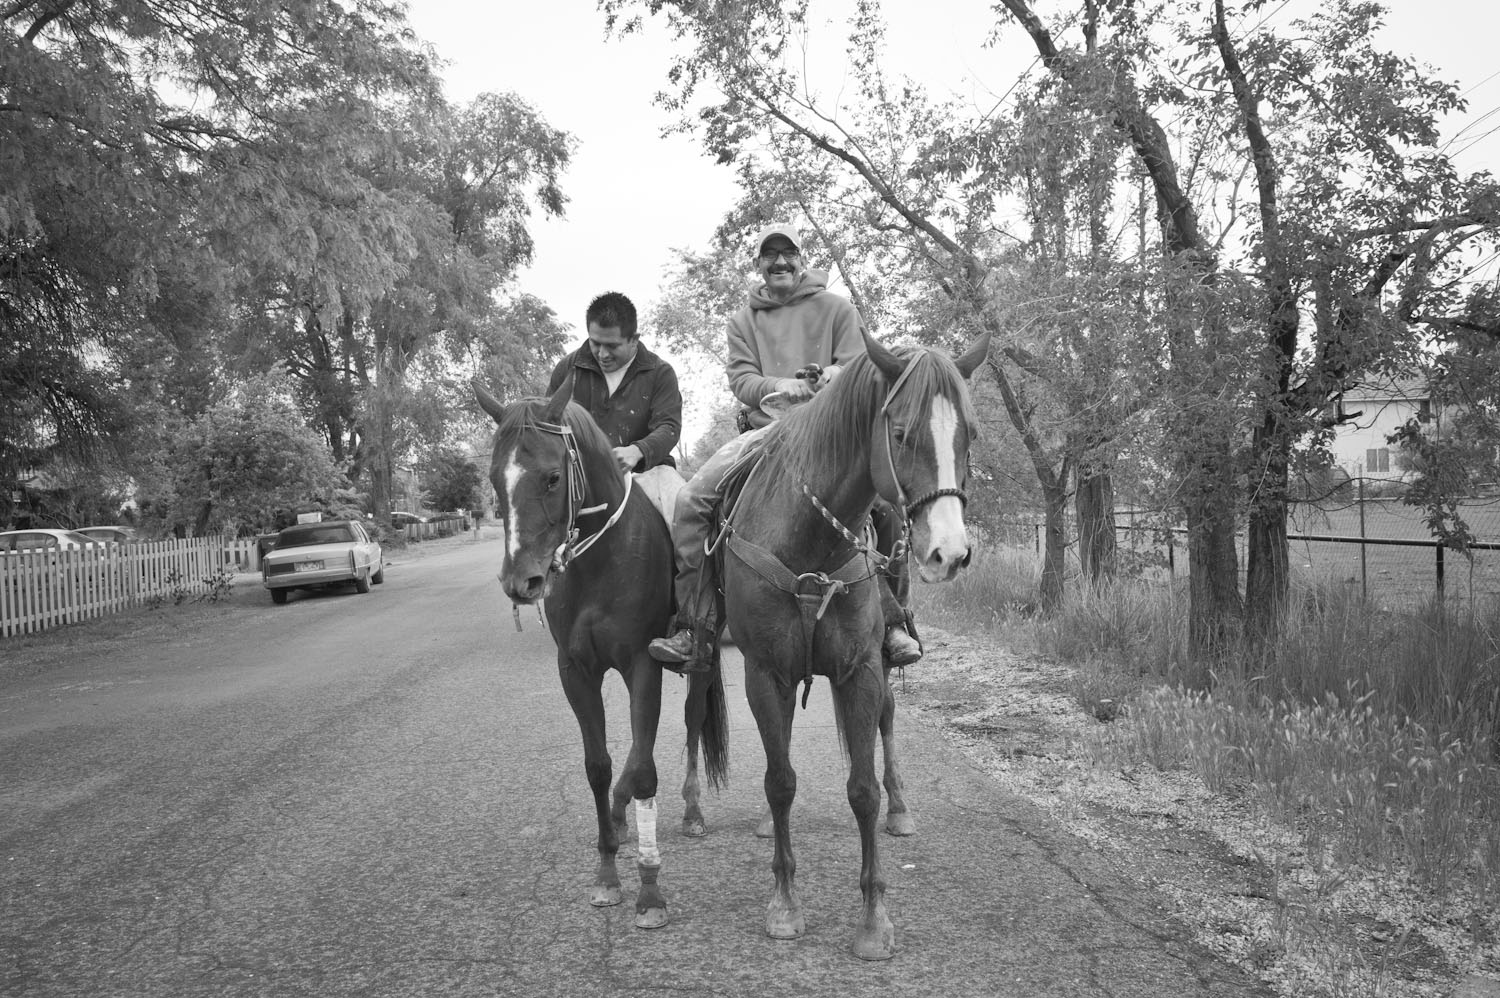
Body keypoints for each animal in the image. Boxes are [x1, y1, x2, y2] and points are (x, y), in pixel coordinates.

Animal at [471, 379, 723, 924]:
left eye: (551, 477)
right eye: (495, 481)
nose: (521, 581)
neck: (600, 563)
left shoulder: (643, 666)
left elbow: (645, 769)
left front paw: (649, 891)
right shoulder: (576, 672)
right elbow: (600, 766)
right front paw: (607, 870)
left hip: (699, 661)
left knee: (692, 725)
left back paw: (692, 811)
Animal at [720, 328, 990, 960]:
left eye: (968, 434)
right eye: (901, 433)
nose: (949, 553)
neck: (807, 541)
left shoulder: (861, 669)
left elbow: (862, 790)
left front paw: (873, 919)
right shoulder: (763, 673)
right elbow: (780, 781)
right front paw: (785, 904)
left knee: (888, 723)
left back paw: (901, 808)